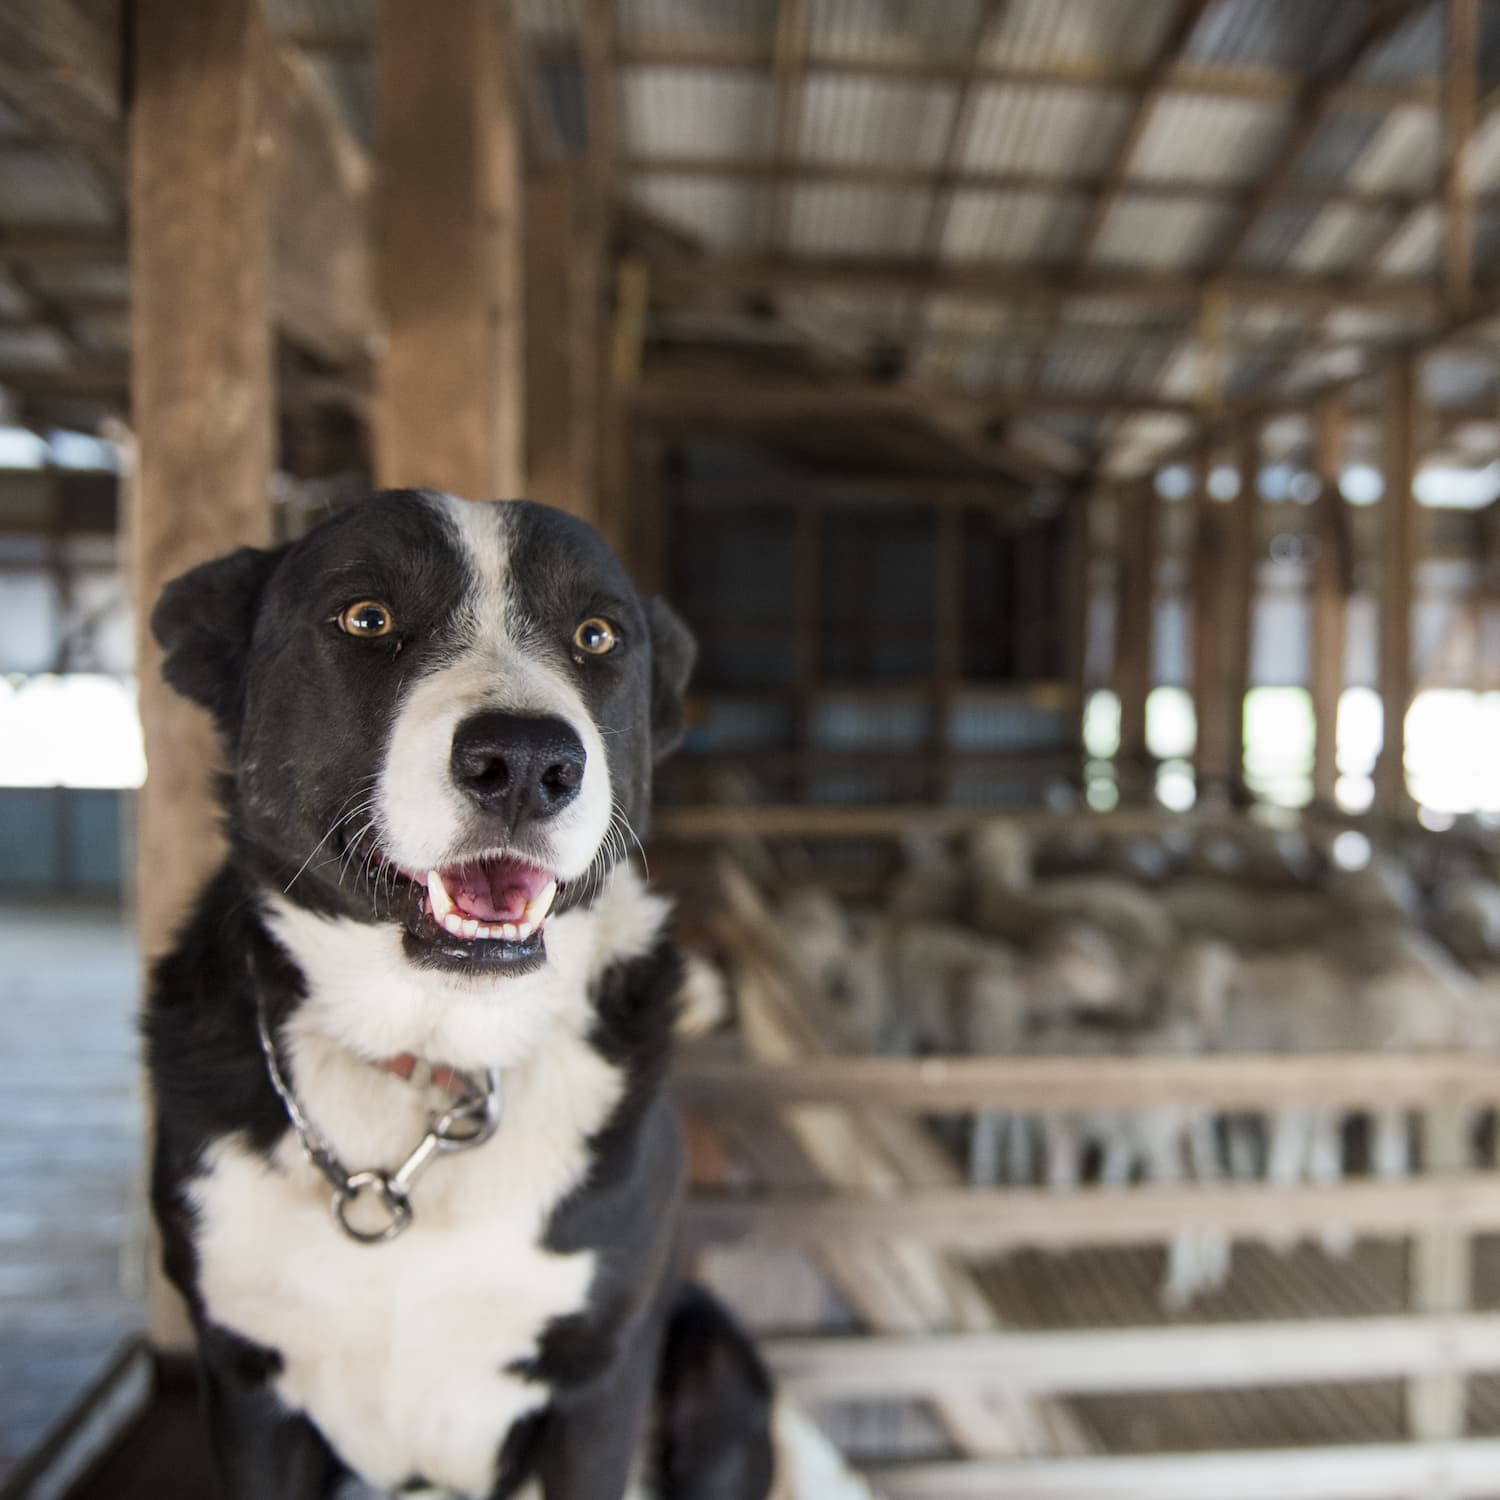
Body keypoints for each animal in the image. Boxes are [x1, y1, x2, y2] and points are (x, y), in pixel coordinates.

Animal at [147, 495, 714, 1500]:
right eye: (367, 618)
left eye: (597, 635)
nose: (526, 763)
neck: (441, 1051)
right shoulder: (244, 1382)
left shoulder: (600, 1385)